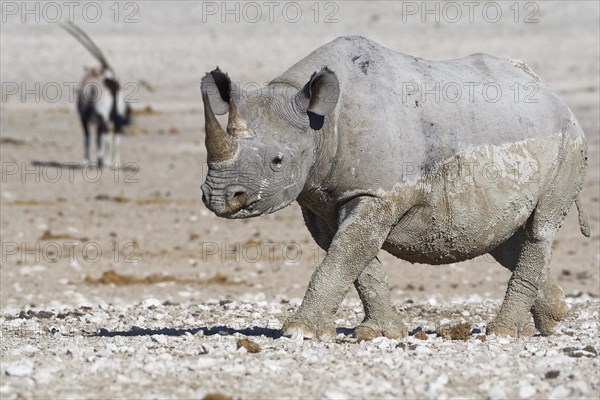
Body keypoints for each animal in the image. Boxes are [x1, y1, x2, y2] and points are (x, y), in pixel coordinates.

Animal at [59, 21, 131, 168]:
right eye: (110, 71)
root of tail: (112, 84)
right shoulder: (97, 122)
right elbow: (100, 140)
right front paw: (99, 161)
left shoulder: (84, 118)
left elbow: (88, 139)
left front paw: (86, 162)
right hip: (116, 117)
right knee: (116, 135)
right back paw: (115, 164)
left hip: (103, 117)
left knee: (107, 135)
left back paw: (106, 162)